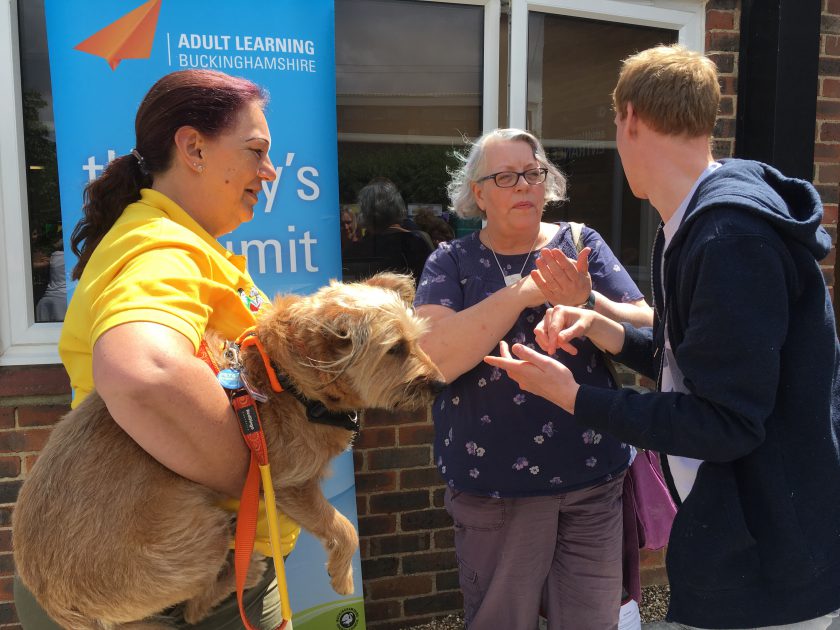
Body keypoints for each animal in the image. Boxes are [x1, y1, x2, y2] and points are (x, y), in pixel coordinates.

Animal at [14, 276, 446, 630]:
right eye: (396, 349)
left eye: (417, 339)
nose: (441, 384)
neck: (284, 378)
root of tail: (56, 603)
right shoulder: (290, 484)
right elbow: (345, 528)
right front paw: (343, 576)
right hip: (199, 534)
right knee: (191, 607)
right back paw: (245, 570)